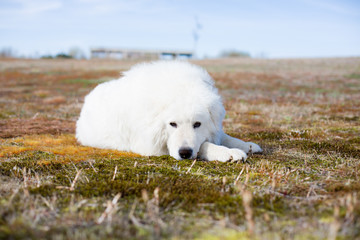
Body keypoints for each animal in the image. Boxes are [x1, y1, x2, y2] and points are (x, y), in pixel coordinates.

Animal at [76, 60, 262, 161]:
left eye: (197, 124)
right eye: (172, 124)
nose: (185, 153)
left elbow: (226, 137)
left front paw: (248, 145)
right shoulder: (151, 146)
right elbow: (204, 145)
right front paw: (226, 152)